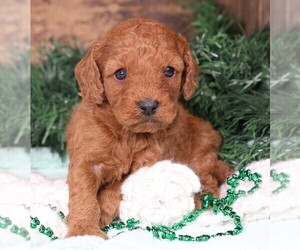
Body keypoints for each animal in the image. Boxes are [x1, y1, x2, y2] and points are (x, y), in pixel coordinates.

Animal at [66, 18, 232, 238]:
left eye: (169, 71)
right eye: (120, 73)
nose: (148, 105)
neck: (129, 134)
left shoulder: (147, 164)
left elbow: (116, 189)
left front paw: (101, 214)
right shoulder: (86, 158)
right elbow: (84, 194)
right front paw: (83, 231)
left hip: (202, 148)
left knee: (209, 173)